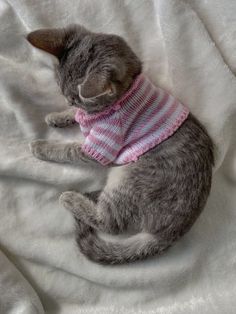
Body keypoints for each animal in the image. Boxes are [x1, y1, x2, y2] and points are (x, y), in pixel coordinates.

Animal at [27, 25, 214, 264]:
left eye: (77, 98)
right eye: (63, 93)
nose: (70, 102)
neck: (127, 93)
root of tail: (170, 232)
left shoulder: (100, 148)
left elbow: (67, 150)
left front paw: (41, 146)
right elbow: (75, 117)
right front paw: (58, 116)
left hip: (128, 180)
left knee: (109, 222)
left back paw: (71, 198)